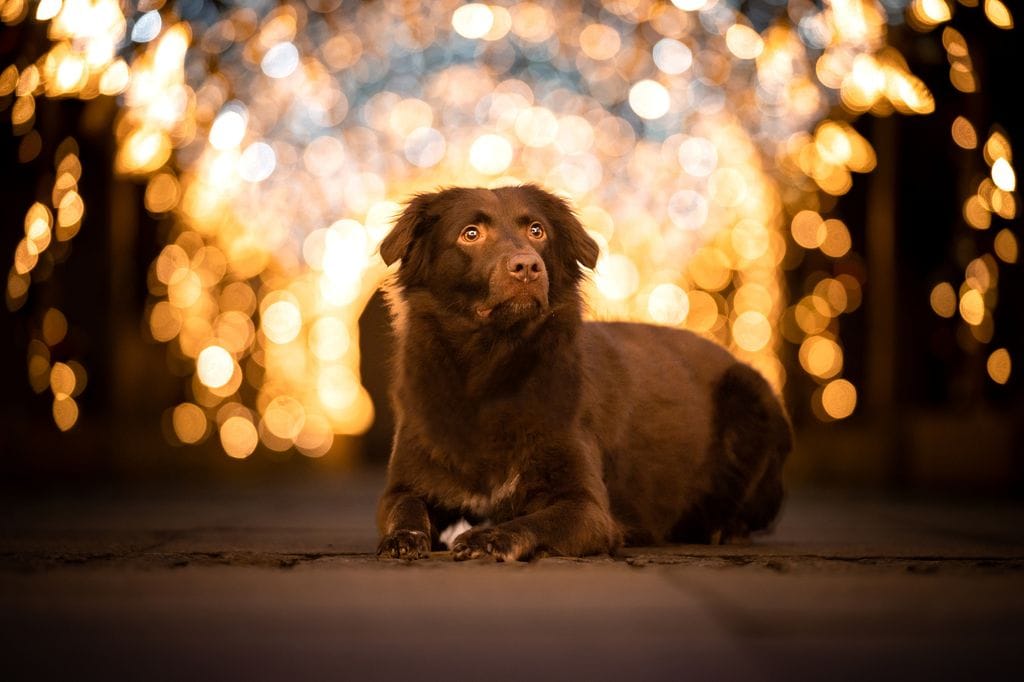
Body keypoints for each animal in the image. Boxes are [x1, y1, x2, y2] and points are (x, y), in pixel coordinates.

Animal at [376, 182, 790, 557]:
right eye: (470, 234)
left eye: (537, 230)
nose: (527, 266)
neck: (491, 368)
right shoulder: (406, 484)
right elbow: (404, 508)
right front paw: (404, 537)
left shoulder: (589, 508)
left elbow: (533, 520)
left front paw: (488, 537)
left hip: (749, 393)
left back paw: (724, 529)